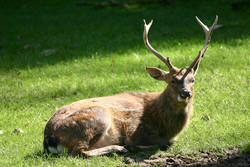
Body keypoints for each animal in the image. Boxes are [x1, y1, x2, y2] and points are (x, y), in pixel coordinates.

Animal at [44, 15, 218, 157]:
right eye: (172, 80)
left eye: (192, 80)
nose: (186, 93)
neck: (163, 123)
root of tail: (49, 139)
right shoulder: (135, 130)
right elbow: (166, 142)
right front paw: (133, 146)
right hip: (97, 116)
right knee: (78, 152)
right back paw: (120, 148)